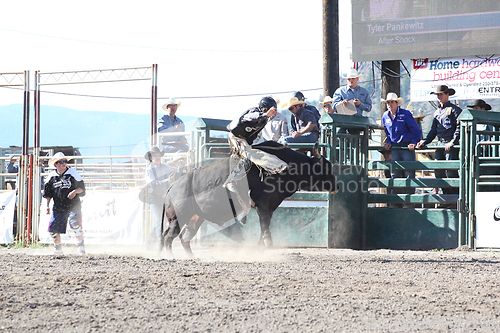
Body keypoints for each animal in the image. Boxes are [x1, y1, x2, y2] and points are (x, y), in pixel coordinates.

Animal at [163, 140, 336, 254]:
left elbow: (265, 225)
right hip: (178, 218)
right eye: (325, 166)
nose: (337, 186)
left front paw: (261, 244)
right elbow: (264, 224)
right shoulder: (262, 205)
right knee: (169, 237)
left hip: (195, 218)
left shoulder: (269, 206)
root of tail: (172, 188)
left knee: (183, 238)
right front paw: (267, 243)